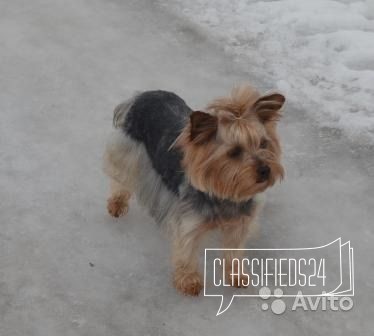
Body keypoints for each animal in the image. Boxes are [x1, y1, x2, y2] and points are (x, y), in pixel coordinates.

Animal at [103, 84, 284, 296]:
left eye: (264, 143)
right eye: (234, 152)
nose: (266, 169)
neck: (225, 195)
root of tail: (143, 95)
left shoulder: (240, 223)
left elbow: (234, 250)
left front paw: (236, 275)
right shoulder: (189, 222)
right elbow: (187, 250)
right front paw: (189, 281)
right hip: (128, 152)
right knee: (121, 179)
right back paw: (117, 203)